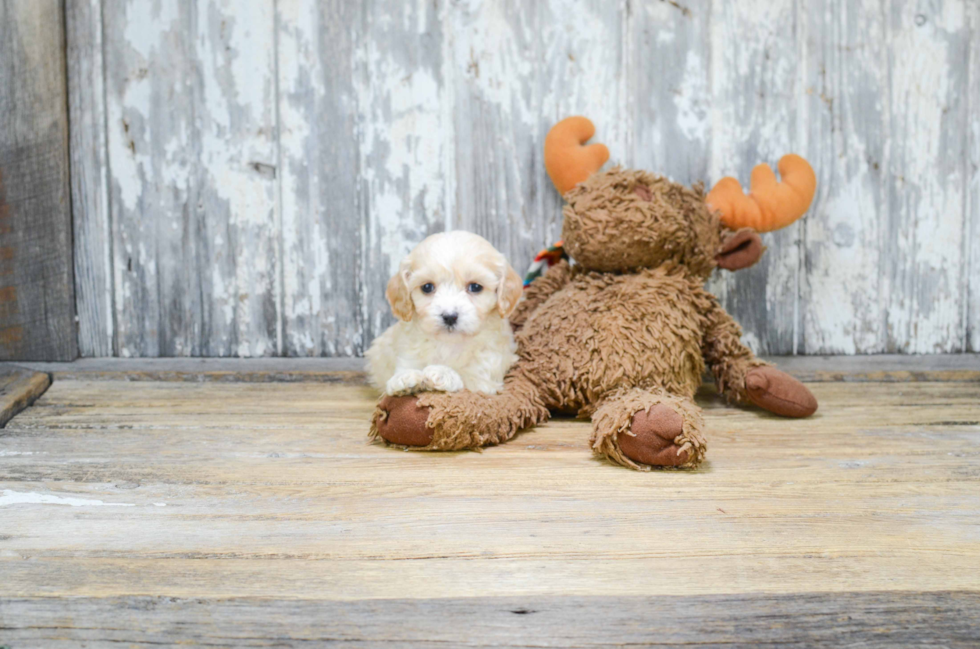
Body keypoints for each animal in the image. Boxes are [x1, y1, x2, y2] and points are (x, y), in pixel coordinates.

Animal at [366, 233, 520, 394]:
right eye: (427, 287)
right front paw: (405, 377)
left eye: (475, 287)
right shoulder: (408, 354)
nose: (450, 317)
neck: (448, 344)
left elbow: (467, 378)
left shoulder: (485, 375)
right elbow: (407, 367)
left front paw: (442, 373)